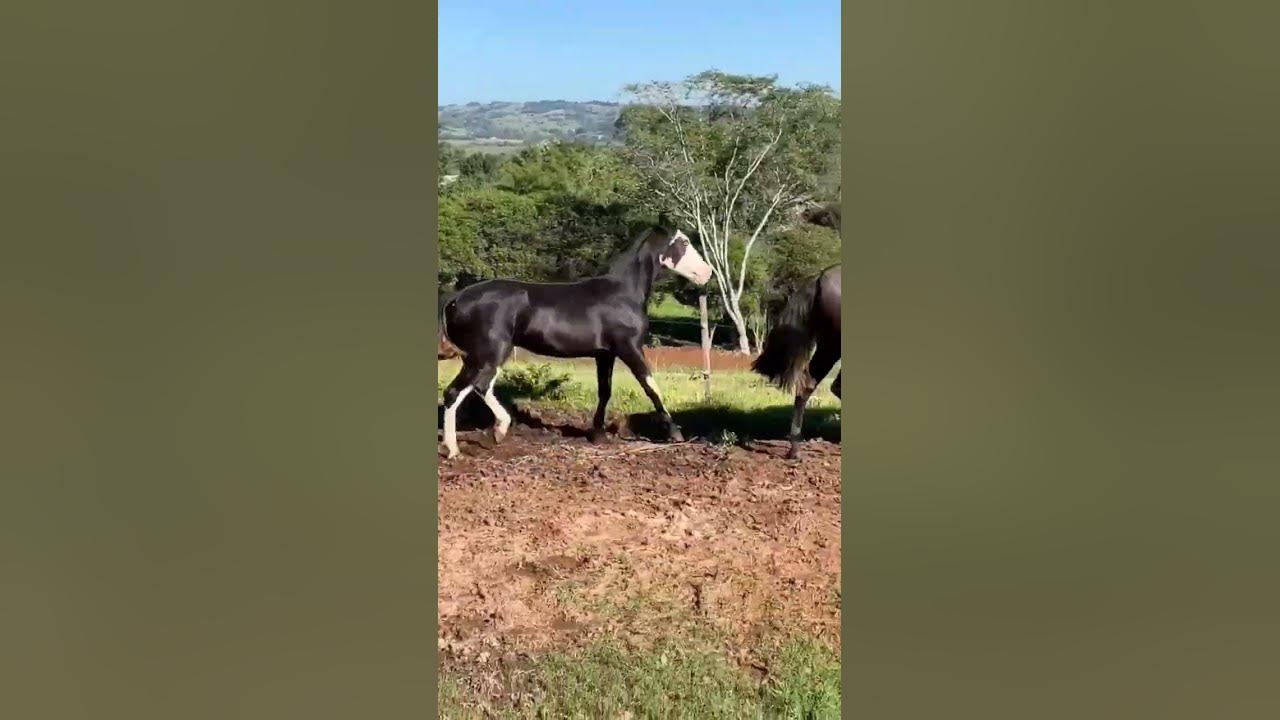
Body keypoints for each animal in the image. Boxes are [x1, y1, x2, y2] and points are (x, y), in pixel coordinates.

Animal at [440, 224, 716, 456]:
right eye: (683, 242)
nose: (707, 273)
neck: (623, 293)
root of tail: (455, 299)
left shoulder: (605, 354)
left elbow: (605, 390)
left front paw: (597, 434)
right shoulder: (629, 348)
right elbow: (651, 387)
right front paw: (675, 433)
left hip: (479, 357)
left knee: (472, 388)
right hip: (489, 354)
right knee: (463, 389)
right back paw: (468, 443)